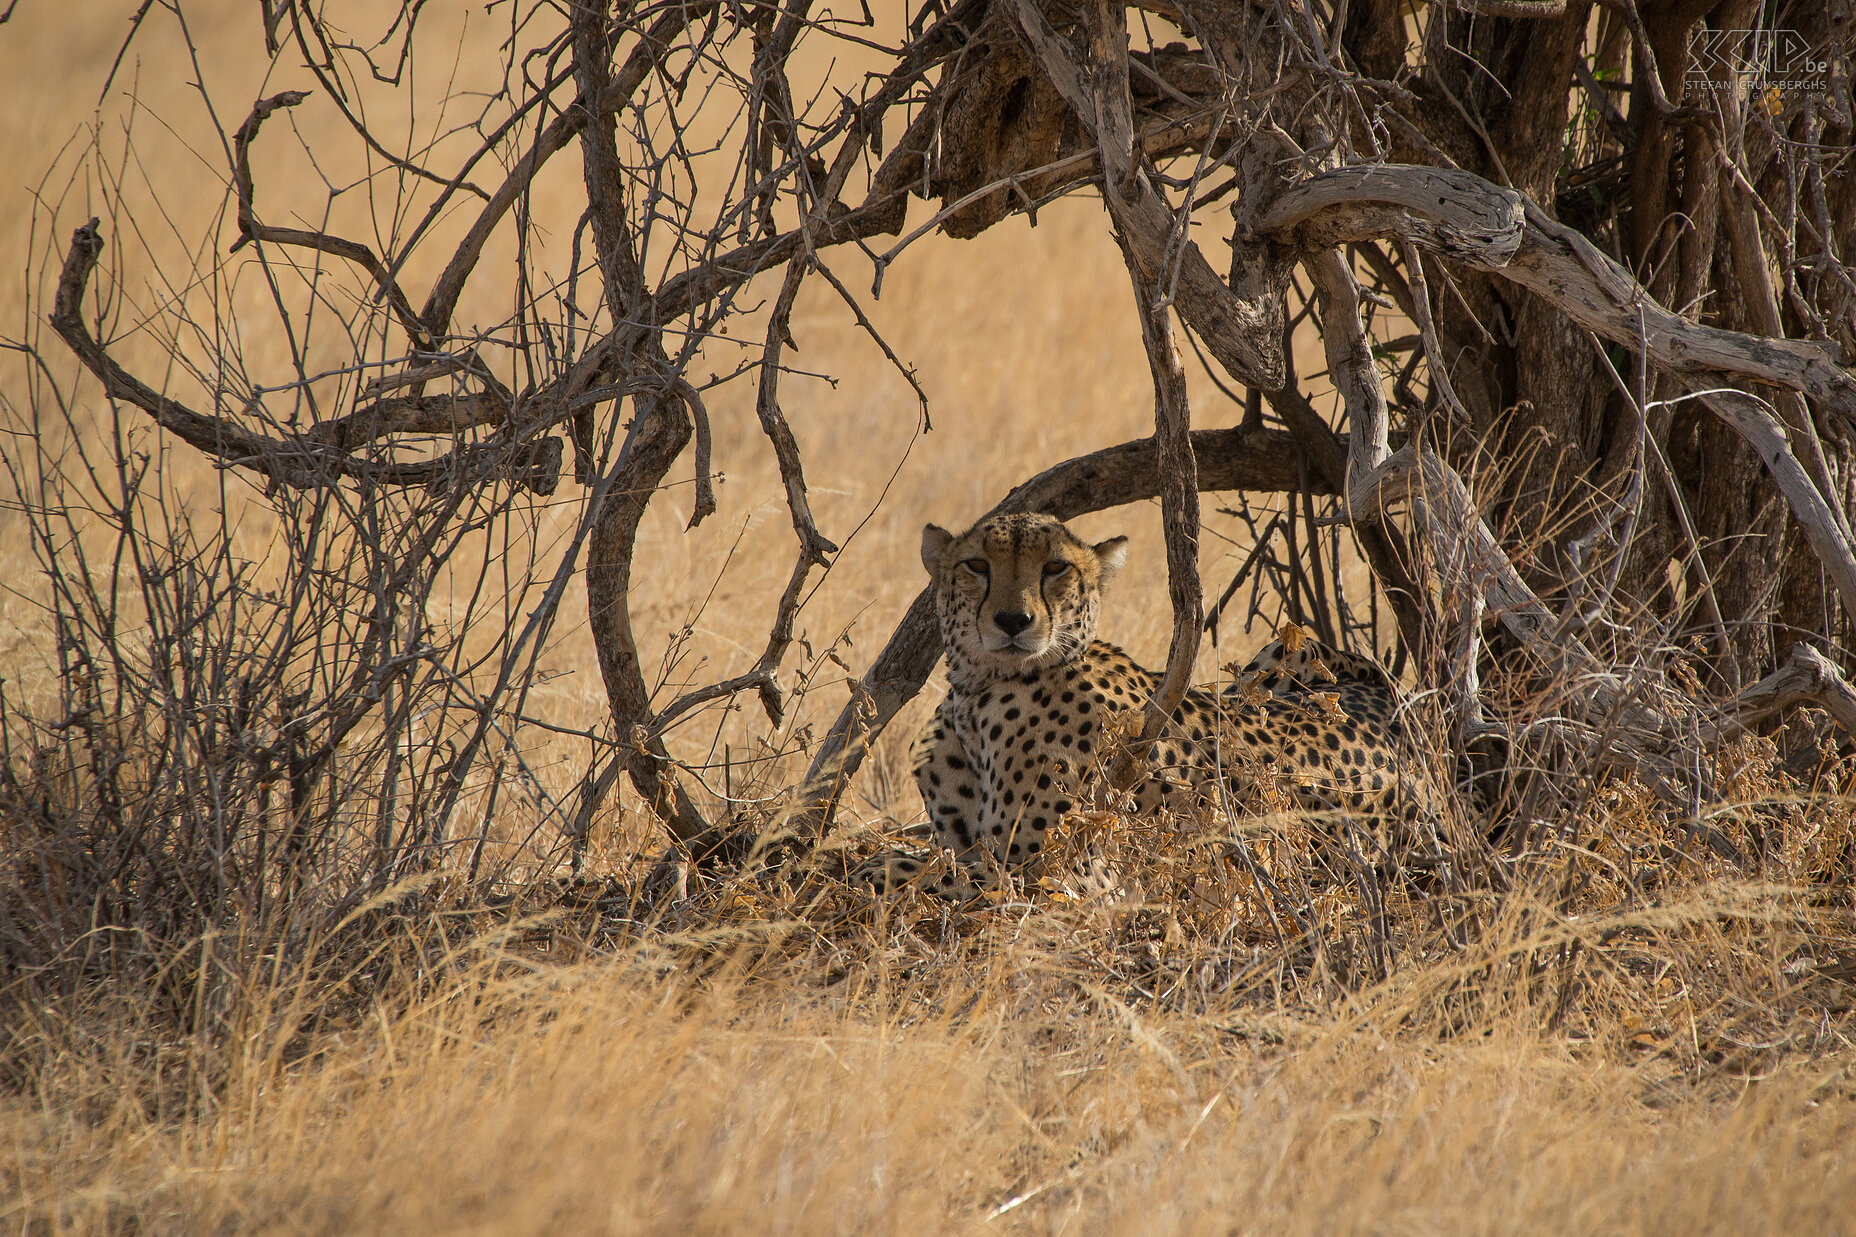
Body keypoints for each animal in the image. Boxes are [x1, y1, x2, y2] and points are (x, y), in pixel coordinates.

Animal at [861, 508, 1440, 895]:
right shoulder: (969, 844)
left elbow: (901, 869)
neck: (978, 692)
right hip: (1284, 652)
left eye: (1055, 569)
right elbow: (918, 858)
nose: (1012, 621)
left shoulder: (1053, 871)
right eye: (977, 565)